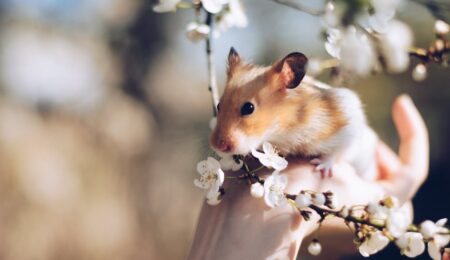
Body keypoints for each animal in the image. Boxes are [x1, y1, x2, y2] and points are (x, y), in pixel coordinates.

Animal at [210, 47, 376, 179]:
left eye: (248, 108)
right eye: (218, 106)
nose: (218, 146)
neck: (283, 129)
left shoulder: (348, 125)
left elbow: (335, 152)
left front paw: (320, 167)